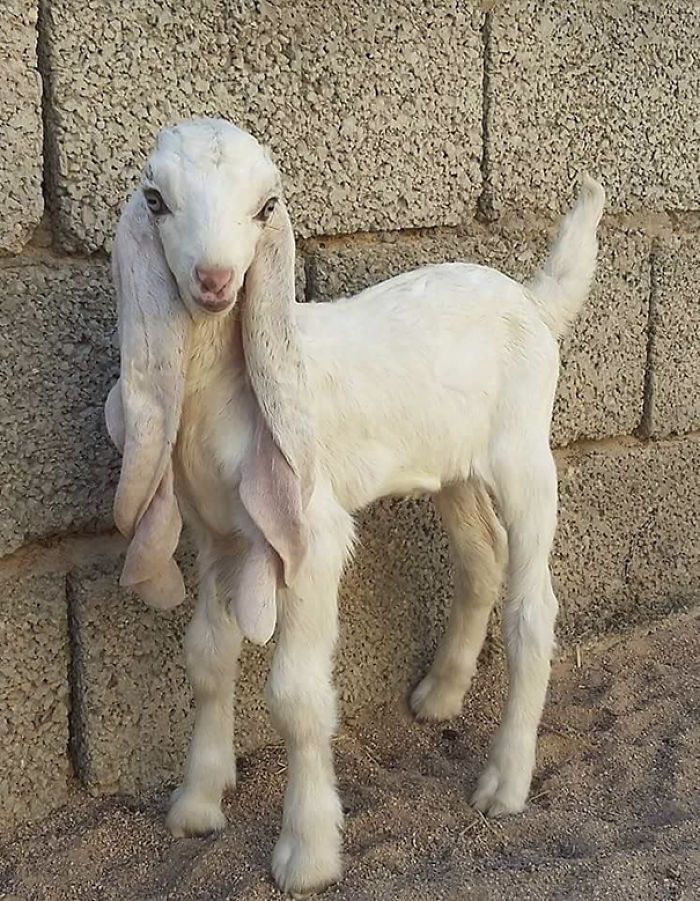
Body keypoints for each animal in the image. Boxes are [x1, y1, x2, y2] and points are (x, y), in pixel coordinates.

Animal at [104, 118, 608, 892]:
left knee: (533, 607)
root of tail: (531, 299)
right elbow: (208, 659)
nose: (215, 282)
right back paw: (440, 695)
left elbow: (296, 696)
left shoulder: (309, 532)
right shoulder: (218, 534)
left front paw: (307, 852)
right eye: (155, 200)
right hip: (453, 467)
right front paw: (196, 803)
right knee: (480, 560)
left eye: (267, 206)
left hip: (526, 453)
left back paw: (505, 782)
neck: (225, 387)